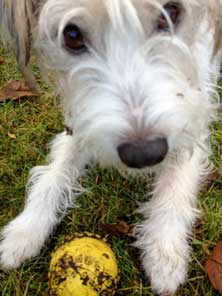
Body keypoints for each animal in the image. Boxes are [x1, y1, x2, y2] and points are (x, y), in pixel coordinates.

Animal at [0, 1, 222, 294]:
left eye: (171, 12)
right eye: (72, 35)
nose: (144, 155)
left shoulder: (192, 116)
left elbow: (175, 185)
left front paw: (164, 251)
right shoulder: (81, 121)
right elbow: (53, 175)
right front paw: (25, 230)